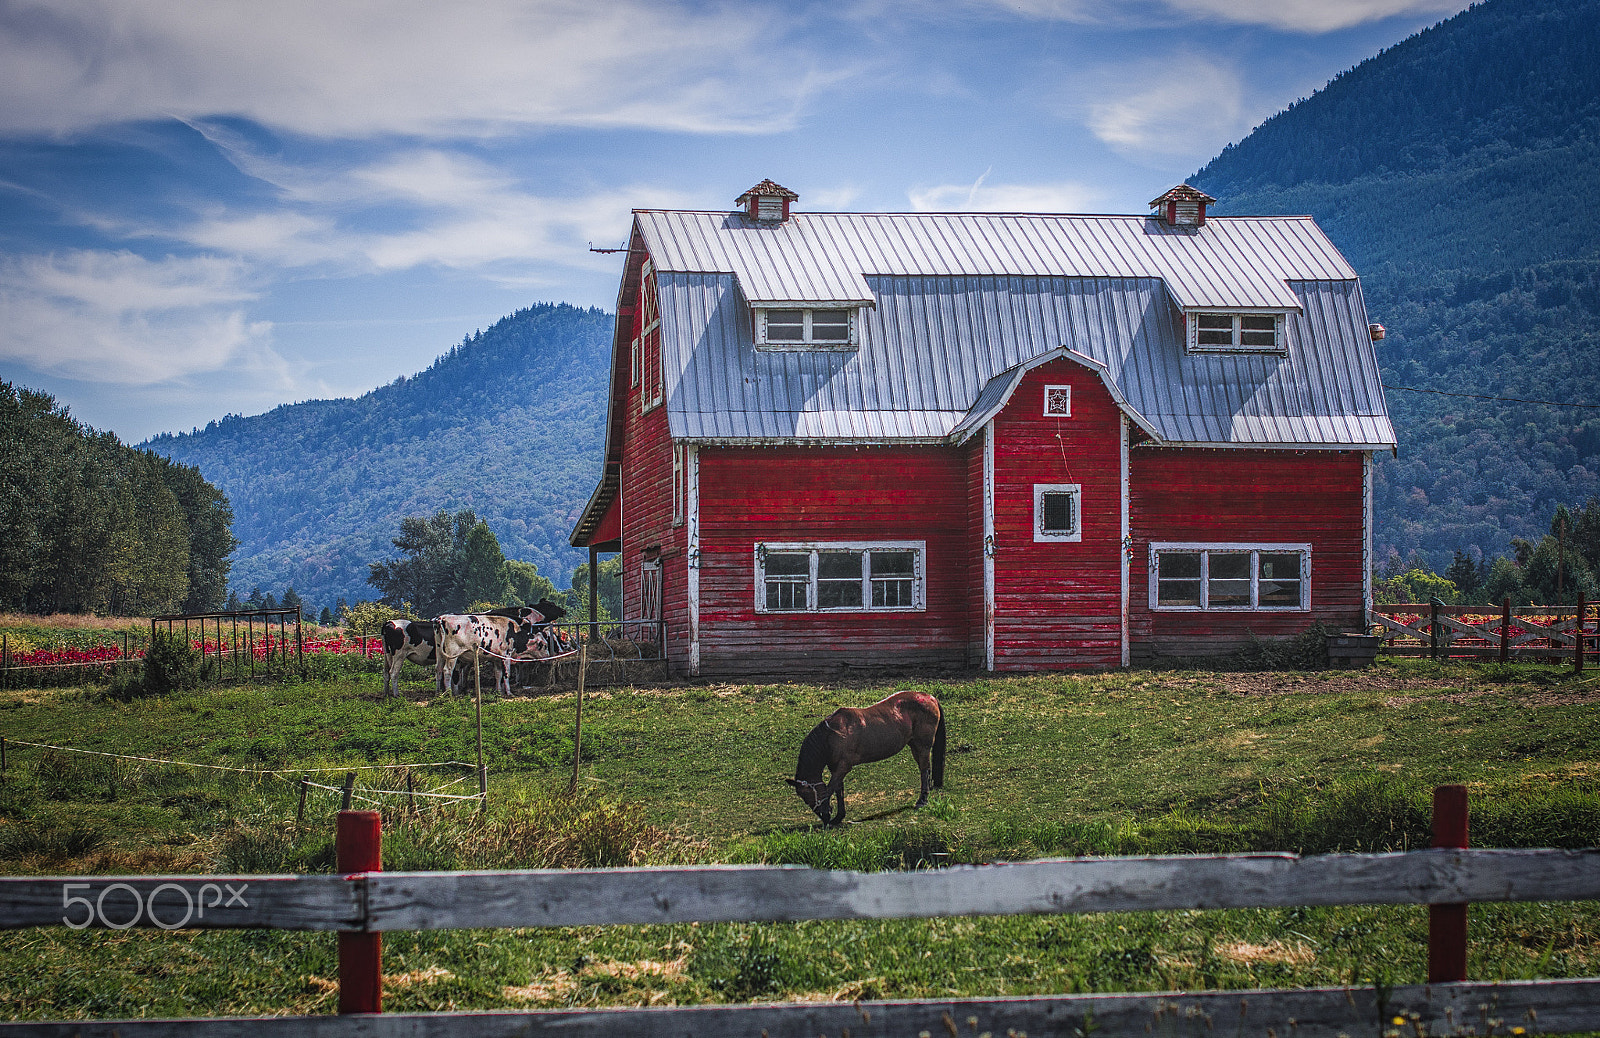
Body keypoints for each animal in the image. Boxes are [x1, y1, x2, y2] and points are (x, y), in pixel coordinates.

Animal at [784, 687, 940, 825]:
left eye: (806, 795)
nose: (823, 816)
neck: (830, 735)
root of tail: (930, 697)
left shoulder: (843, 767)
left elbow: (830, 789)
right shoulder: (836, 768)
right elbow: (838, 790)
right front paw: (838, 817)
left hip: (922, 746)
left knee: (924, 769)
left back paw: (922, 801)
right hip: (914, 745)